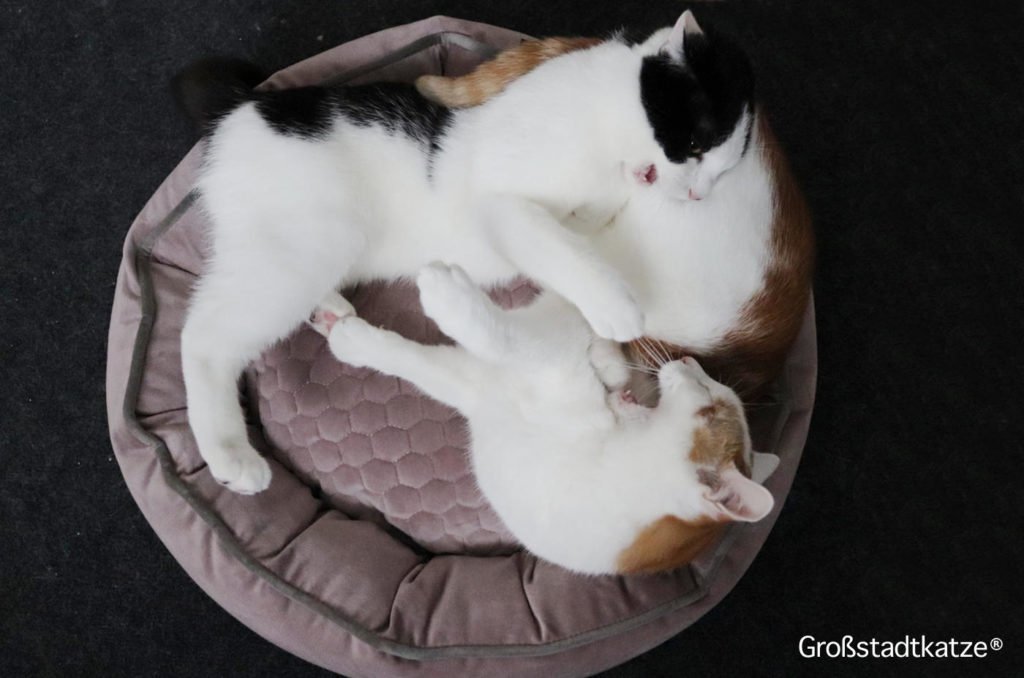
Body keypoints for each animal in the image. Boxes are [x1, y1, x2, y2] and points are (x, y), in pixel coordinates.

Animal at [174, 13, 728, 495]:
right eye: (695, 144)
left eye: (720, 170)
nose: (698, 194)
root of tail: (245, 105)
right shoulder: (503, 199)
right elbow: (558, 248)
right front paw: (616, 308)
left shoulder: (581, 220)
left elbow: (566, 255)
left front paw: (606, 355)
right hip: (308, 244)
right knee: (203, 337)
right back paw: (230, 454)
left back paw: (328, 313)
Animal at [310, 263, 780, 575]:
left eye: (710, 403)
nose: (687, 361)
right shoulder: (502, 374)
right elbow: (414, 358)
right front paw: (355, 338)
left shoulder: (500, 377)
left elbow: (483, 341)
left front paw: (437, 302)